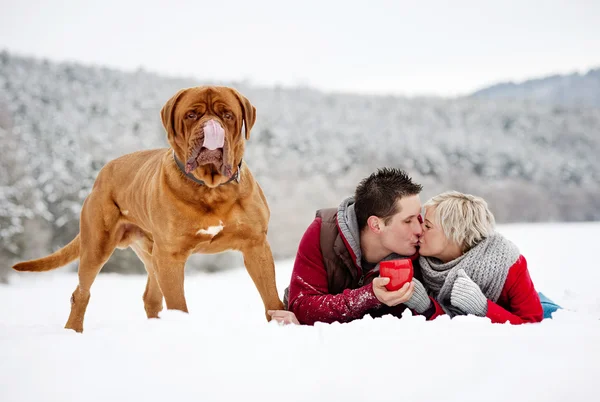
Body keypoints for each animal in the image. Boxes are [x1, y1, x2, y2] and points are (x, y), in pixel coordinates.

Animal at [13, 85, 286, 332]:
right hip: (99, 245)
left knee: (151, 297)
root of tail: (100, 175)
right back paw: (73, 330)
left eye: (228, 115)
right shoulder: (171, 255)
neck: (211, 188)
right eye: (191, 115)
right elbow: (177, 303)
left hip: (151, 253)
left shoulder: (255, 244)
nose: (212, 127)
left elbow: (271, 296)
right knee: (82, 292)